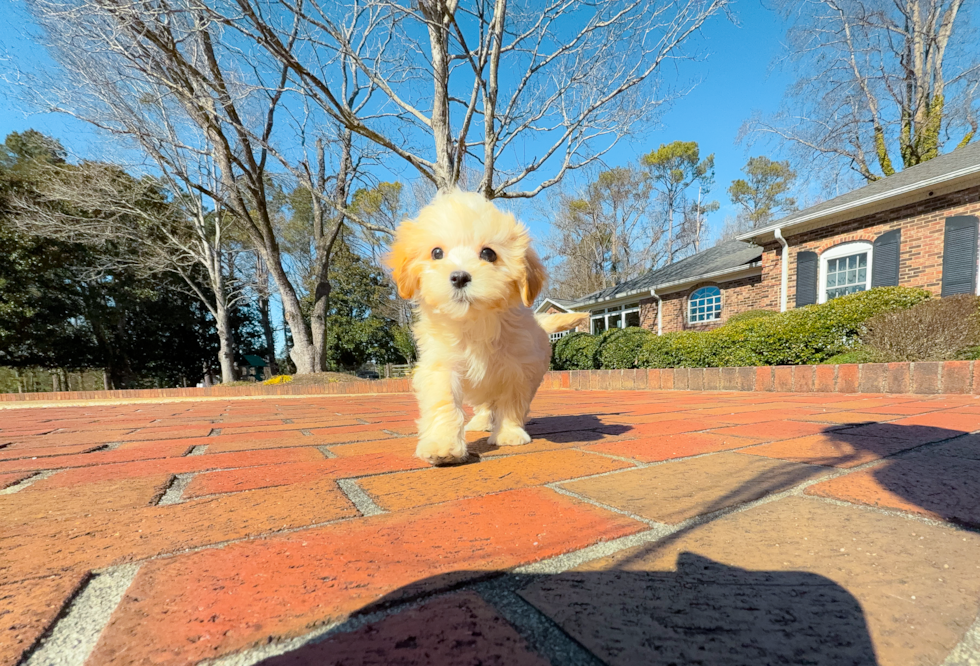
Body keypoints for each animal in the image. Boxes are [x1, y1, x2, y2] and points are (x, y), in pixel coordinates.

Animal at [382, 189, 580, 464]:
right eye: (436, 253)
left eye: (488, 253)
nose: (459, 277)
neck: (474, 322)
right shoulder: (441, 365)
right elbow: (444, 402)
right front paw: (442, 445)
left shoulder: (517, 370)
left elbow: (511, 402)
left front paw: (508, 433)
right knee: (484, 405)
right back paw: (480, 421)